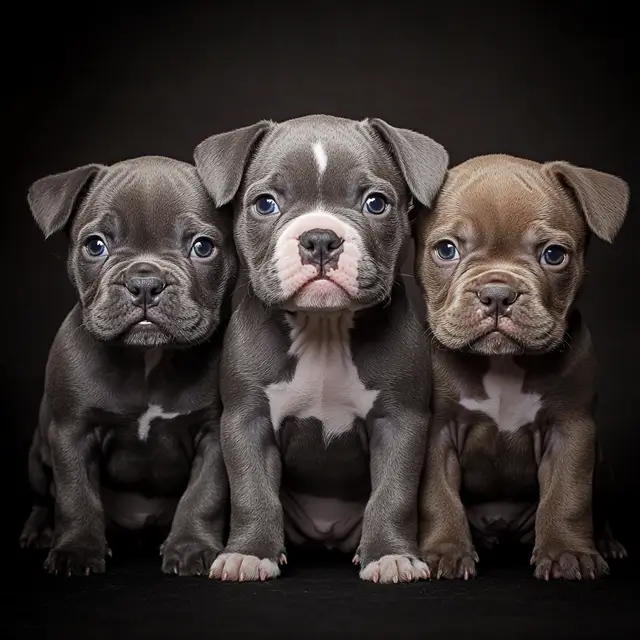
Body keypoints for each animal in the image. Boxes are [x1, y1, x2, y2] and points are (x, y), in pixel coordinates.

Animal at [19, 155, 238, 576]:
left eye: (202, 247)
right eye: (95, 245)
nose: (145, 283)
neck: (146, 359)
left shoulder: (213, 433)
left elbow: (204, 494)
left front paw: (191, 547)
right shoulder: (71, 432)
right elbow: (75, 495)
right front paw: (76, 550)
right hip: (37, 453)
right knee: (41, 497)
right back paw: (39, 531)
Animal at [192, 112, 448, 584]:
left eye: (375, 203)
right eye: (266, 204)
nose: (320, 239)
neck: (322, 327)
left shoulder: (400, 421)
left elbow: (394, 493)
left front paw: (391, 555)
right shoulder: (246, 421)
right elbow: (252, 490)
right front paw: (250, 553)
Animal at [416, 154, 632, 580]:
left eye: (553, 255)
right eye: (446, 250)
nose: (498, 293)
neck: (502, 364)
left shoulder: (571, 430)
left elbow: (568, 495)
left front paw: (568, 553)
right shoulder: (438, 430)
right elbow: (438, 494)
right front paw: (444, 551)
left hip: (603, 467)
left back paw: (606, 544)